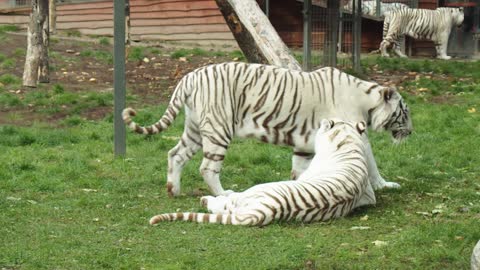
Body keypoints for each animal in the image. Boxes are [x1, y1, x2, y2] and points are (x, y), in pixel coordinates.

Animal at [122, 62, 410, 197]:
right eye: (405, 112)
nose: (411, 132)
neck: (366, 101)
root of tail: (189, 76)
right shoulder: (357, 136)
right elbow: (371, 164)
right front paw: (386, 185)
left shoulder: (305, 143)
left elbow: (301, 169)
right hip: (218, 129)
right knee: (207, 167)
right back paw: (223, 194)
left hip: (194, 129)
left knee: (175, 154)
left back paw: (174, 190)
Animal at [149, 119, 376, 226]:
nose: (321, 122)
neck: (348, 141)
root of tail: (265, 211)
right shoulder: (369, 195)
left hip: (251, 193)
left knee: (225, 203)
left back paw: (209, 199)